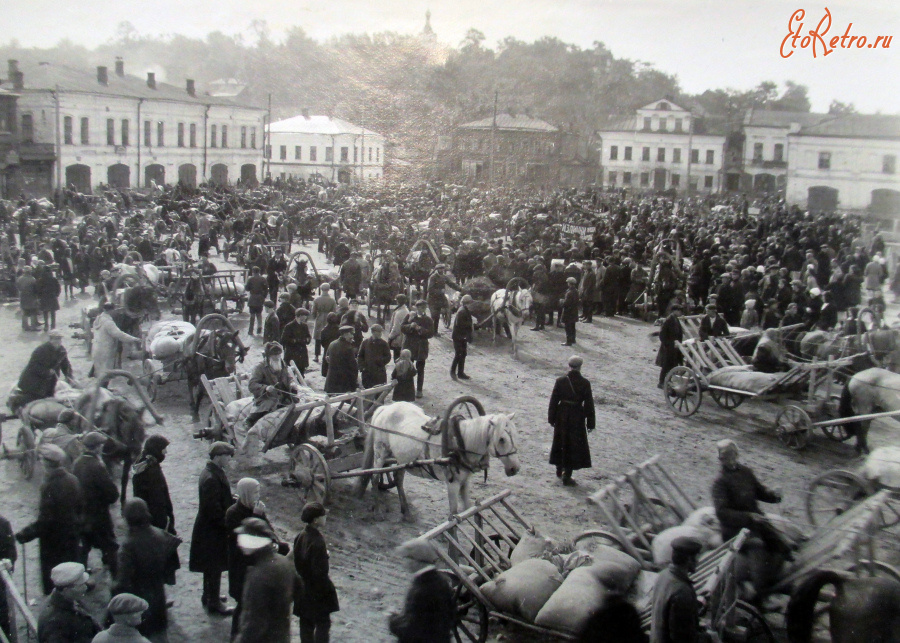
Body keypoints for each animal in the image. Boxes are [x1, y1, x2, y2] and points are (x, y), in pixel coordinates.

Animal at [360, 402, 520, 520]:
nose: (515, 468)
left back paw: (406, 512)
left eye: (515, 434)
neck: (460, 443)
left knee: (398, 479)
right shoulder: (452, 483)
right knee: (375, 478)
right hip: (380, 453)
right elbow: (453, 514)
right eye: (502, 439)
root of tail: (385, 408)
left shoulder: (465, 482)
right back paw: (378, 511)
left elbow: (467, 510)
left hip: (401, 458)